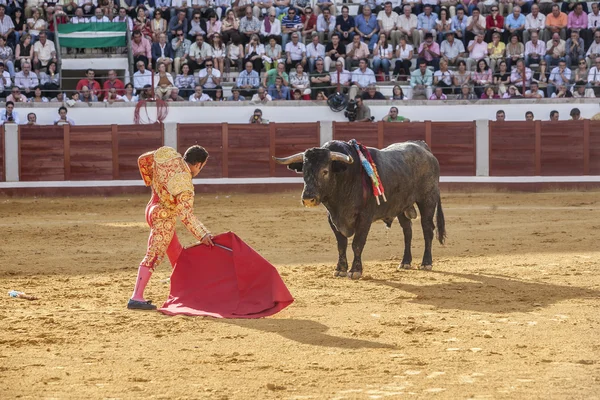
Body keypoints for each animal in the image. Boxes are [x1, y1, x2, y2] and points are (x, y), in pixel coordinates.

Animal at [276, 139, 446, 280]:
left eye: (325, 171)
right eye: (304, 171)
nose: (308, 199)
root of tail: (423, 147)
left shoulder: (365, 218)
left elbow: (357, 243)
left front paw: (355, 271)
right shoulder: (332, 218)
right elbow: (341, 244)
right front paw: (340, 269)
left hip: (427, 200)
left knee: (427, 229)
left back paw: (426, 263)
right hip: (401, 206)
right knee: (407, 231)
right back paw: (405, 262)